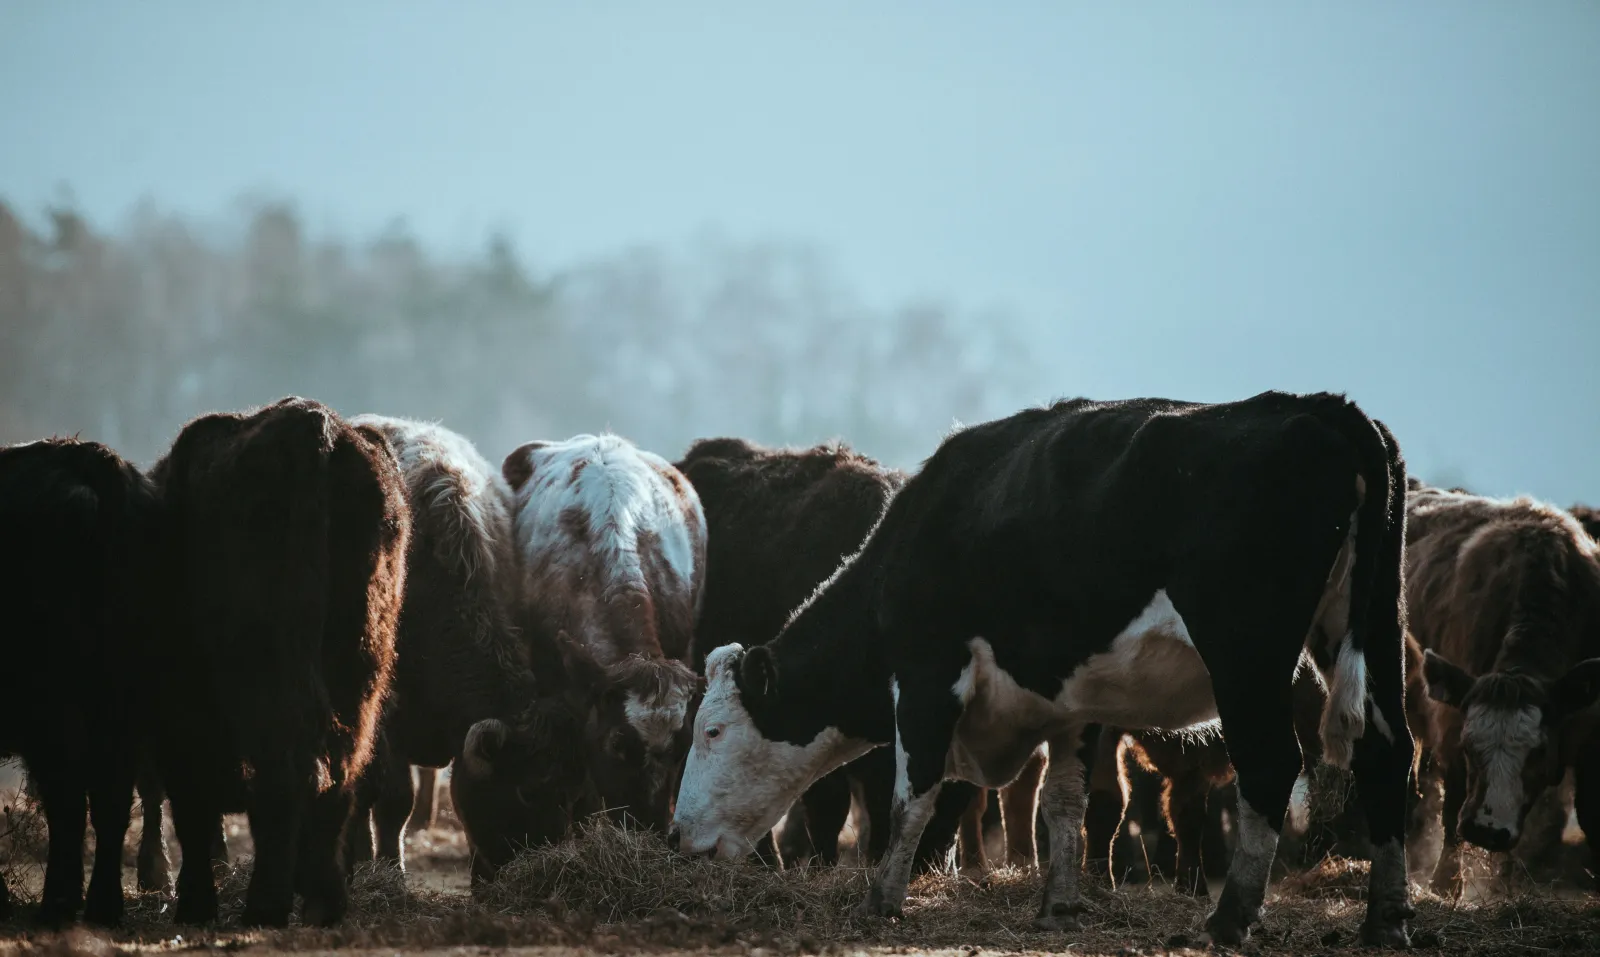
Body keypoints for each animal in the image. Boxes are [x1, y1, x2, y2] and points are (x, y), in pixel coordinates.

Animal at [0, 437, 160, 927]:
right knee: (110, 797)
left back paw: (60, 903)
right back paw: (103, 906)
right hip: (125, 696)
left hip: (56, 701)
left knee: (70, 797)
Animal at [146, 397, 409, 927]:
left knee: (284, 769)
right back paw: (323, 899)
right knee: (339, 770)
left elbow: (191, 806)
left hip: (266, 667)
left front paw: (195, 903)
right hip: (361, 668)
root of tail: (313, 424)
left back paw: (266, 904)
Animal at [1405, 485, 1600, 896]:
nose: (1487, 831)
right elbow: (1454, 800)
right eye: (1469, 746)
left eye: (1538, 751)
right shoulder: (1451, 721)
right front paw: (1446, 883)